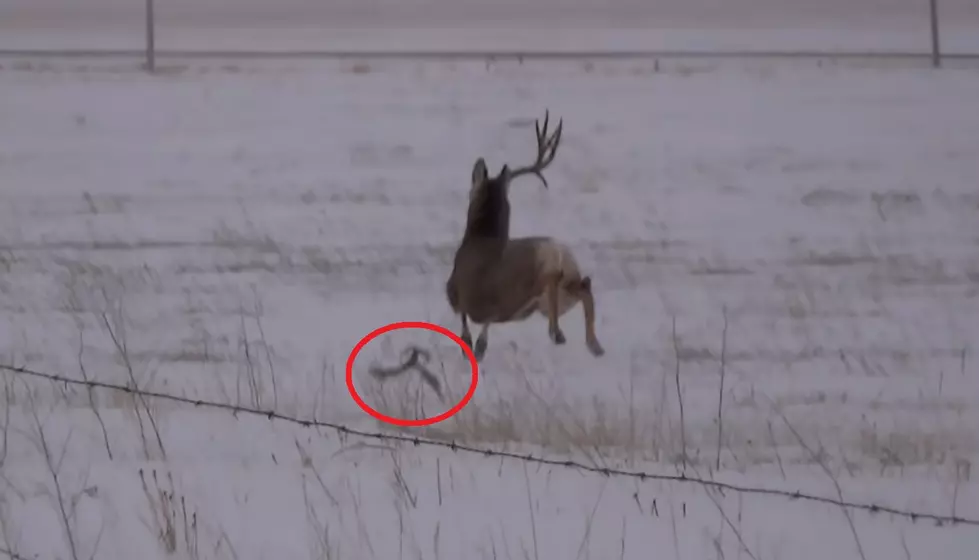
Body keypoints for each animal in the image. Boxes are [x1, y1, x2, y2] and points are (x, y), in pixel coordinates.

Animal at [446, 111, 604, 360]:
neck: (482, 238)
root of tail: (559, 251)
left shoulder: (457, 293)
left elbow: (470, 328)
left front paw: (474, 346)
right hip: (556, 296)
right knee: (583, 287)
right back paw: (594, 344)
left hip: (536, 281)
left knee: (555, 280)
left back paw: (557, 333)